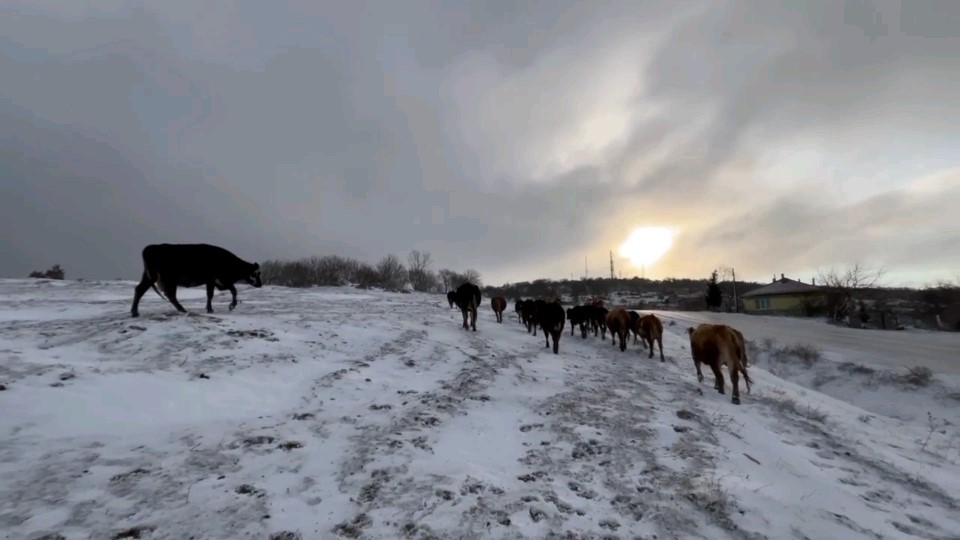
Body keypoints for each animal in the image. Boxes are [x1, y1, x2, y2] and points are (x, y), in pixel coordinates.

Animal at [130, 242, 262, 316]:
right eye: (256, 273)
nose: (260, 284)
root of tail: (151, 248)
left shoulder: (213, 281)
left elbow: (211, 294)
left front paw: (210, 308)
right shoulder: (218, 280)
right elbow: (232, 291)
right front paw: (231, 306)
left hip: (149, 277)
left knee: (140, 289)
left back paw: (134, 312)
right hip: (167, 279)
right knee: (171, 295)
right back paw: (183, 310)